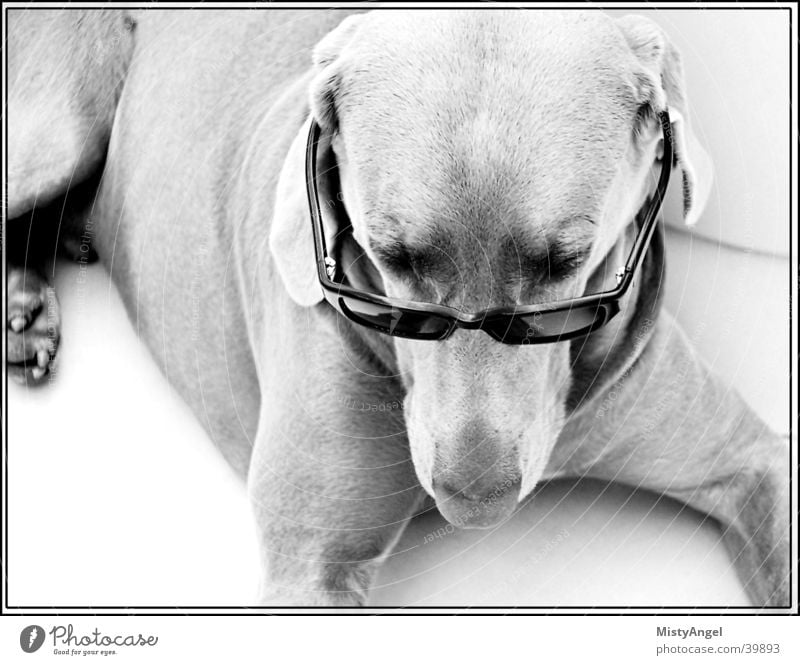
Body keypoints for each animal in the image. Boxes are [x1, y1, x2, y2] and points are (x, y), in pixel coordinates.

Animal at [6, 7, 788, 608]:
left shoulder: (756, 459)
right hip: (58, 131)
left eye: (565, 259)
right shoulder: (309, 574)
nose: (474, 498)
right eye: (394, 254)